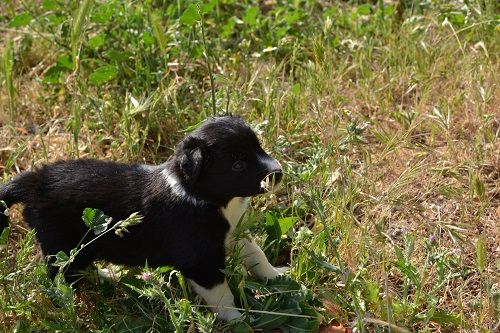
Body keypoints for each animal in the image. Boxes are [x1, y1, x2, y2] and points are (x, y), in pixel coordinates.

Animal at [0, 115, 286, 320]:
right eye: (238, 164)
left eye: (258, 147)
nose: (278, 173)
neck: (203, 197)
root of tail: (34, 181)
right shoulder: (200, 260)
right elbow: (221, 293)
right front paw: (239, 319)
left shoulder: (235, 232)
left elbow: (257, 255)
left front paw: (276, 276)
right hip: (64, 247)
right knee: (62, 279)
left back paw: (108, 275)